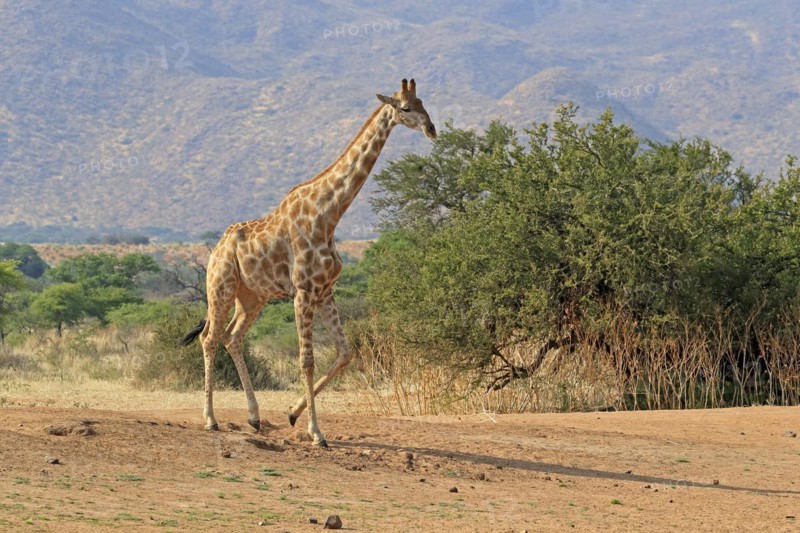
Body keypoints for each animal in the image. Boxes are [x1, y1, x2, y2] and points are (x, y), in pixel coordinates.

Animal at [181, 79, 436, 447]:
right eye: (405, 108)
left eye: (423, 102)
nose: (432, 129)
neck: (328, 215)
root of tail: (216, 247)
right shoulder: (303, 290)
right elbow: (307, 361)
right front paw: (317, 433)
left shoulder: (326, 290)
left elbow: (345, 353)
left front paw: (291, 413)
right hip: (221, 287)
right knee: (210, 338)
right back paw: (211, 420)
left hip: (253, 297)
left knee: (233, 337)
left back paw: (254, 417)